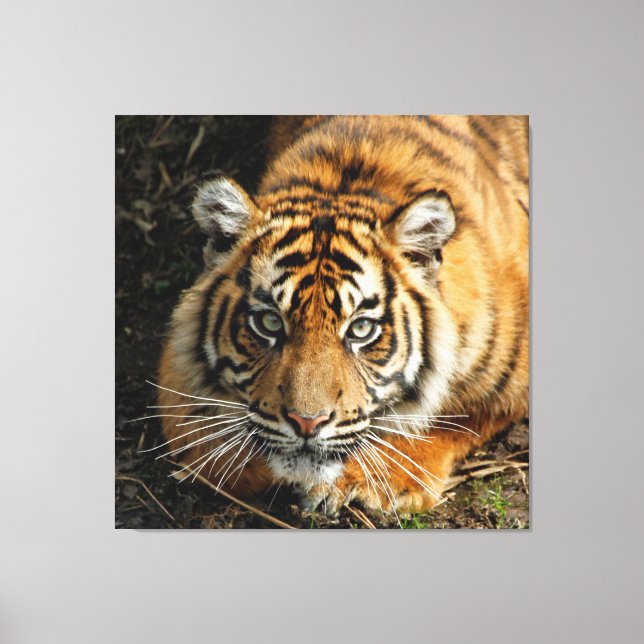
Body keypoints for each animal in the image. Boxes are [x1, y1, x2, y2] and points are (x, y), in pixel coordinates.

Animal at [157, 115, 529, 518]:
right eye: (269, 322)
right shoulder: (178, 386)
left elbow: (449, 420)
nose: (307, 423)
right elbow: (218, 453)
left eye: (361, 328)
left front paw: (366, 481)